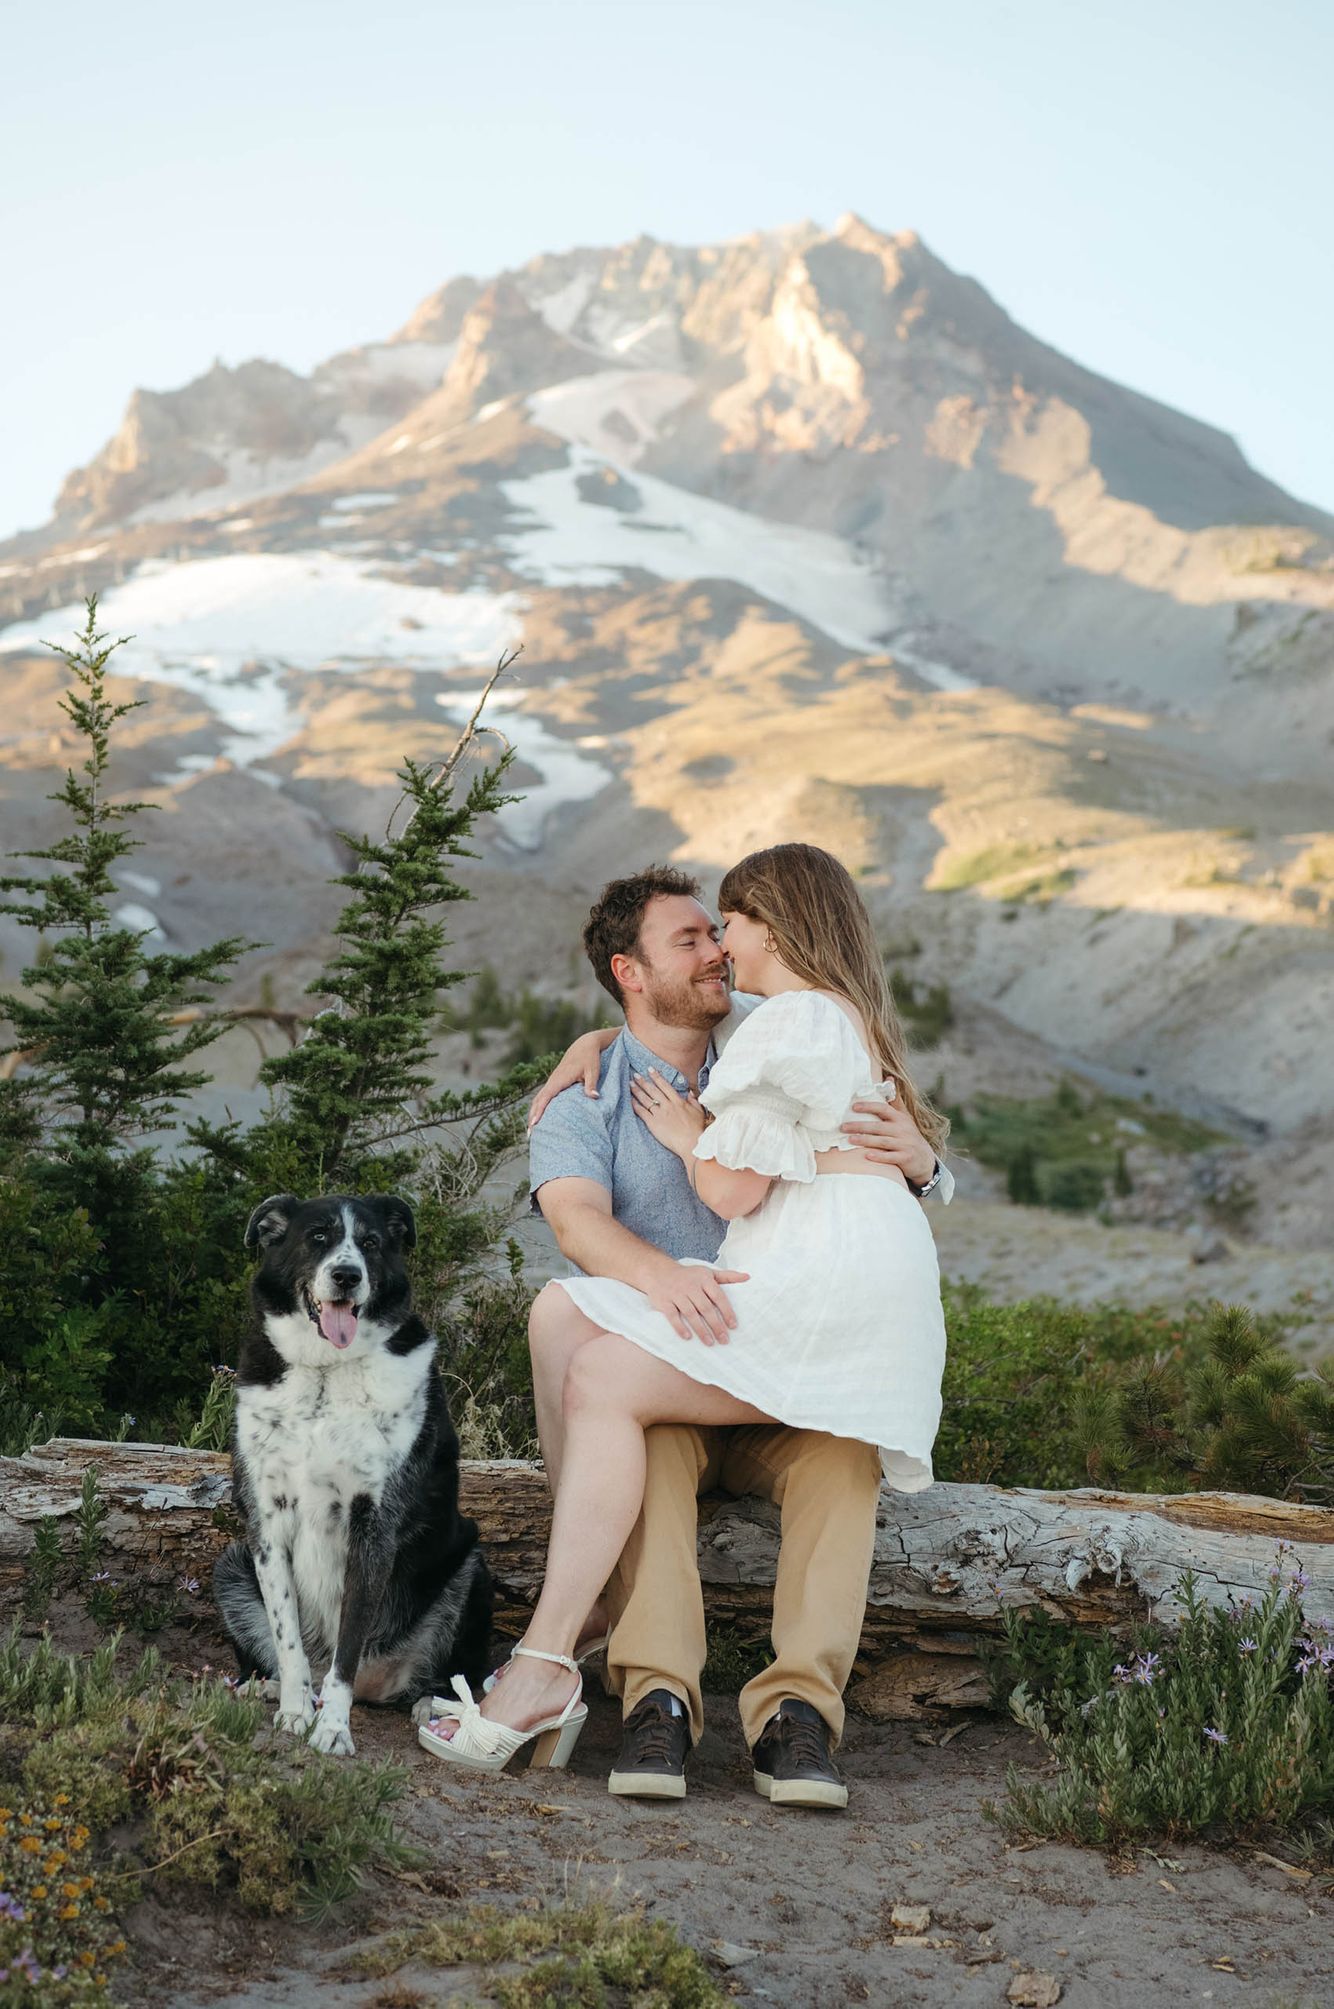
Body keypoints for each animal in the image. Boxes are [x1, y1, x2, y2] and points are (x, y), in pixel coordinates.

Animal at [215, 1189, 492, 1759]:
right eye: (317, 1237)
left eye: (371, 1243)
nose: (346, 1275)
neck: (326, 1372)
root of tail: (377, 1684)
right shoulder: (266, 1525)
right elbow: (288, 1639)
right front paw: (296, 1712)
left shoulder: (372, 1528)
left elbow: (346, 1654)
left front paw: (334, 1730)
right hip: (230, 1566)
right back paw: (267, 1688)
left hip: (469, 1566)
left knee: (449, 1673)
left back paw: (433, 1705)